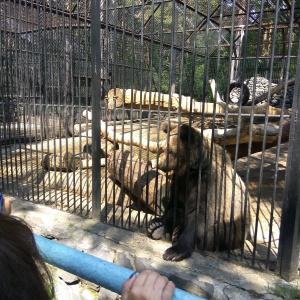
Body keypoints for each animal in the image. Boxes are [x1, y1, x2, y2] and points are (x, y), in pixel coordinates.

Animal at [149, 121, 252, 260]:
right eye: (164, 149)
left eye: (171, 151)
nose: (159, 164)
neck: (191, 170)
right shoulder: (180, 181)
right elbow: (174, 203)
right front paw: (157, 222)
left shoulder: (210, 183)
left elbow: (201, 215)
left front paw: (174, 252)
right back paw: (159, 229)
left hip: (231, 228)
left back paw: (176, 234)